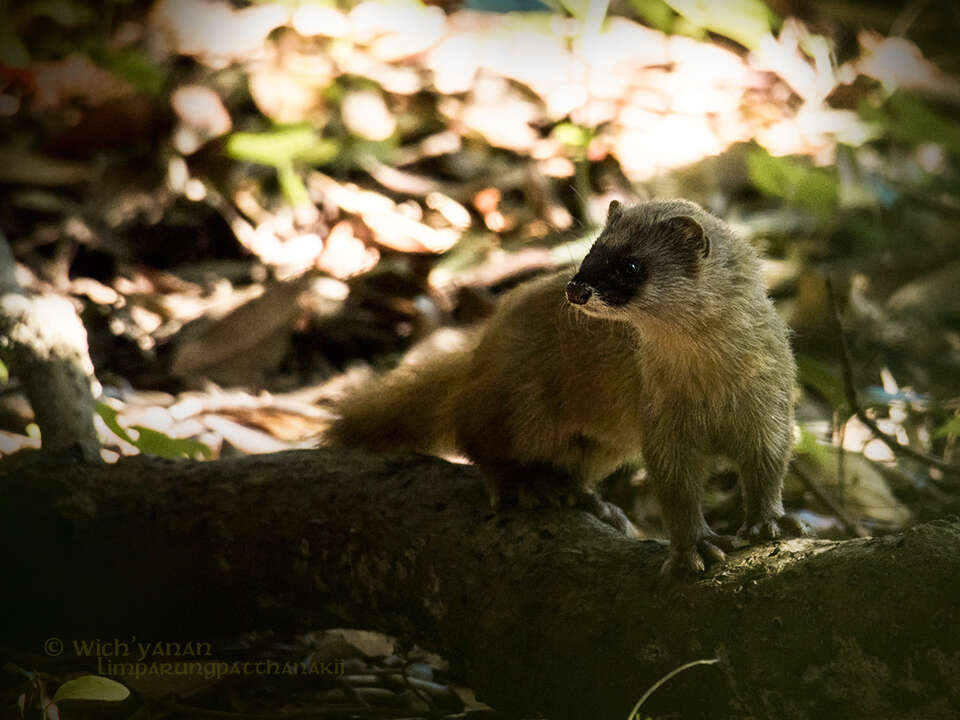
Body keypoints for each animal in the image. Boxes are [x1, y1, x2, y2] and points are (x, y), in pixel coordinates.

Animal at [326, 198, 808, 572]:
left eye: (631, 265)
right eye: (592, 249)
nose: (576, 288)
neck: (712, 387)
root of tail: (481, 352)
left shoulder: (773, 405)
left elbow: (768, 467)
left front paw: (770, 523)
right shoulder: (661, 422)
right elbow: (676, 489)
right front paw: (697, 547)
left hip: (605, 442)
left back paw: (590, 502)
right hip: (519, 403)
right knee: (473, 431)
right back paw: (521, 486)